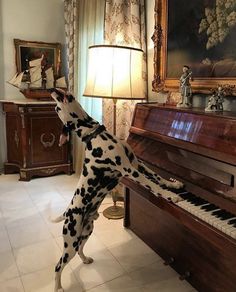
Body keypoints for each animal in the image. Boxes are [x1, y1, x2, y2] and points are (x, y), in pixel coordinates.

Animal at [49, 88, 183, 290]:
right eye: (57, 109)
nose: (51, 90)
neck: (94, 134)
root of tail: (68, 212)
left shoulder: (137, 163)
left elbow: (157, 177)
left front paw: (173, 184)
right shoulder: (129, 170)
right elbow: (151, 184)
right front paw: (170, 196)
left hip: (86, 231)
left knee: (80, 249)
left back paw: (85, 259)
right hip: (70, 241)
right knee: (58, 265)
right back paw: (58, 287)